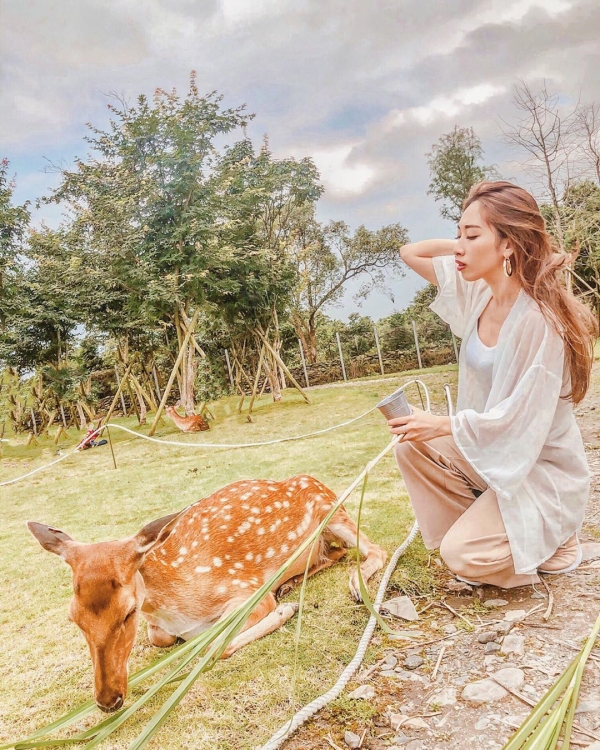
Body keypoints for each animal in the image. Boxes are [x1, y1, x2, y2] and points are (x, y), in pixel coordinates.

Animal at [27, 475, 387, 713]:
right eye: (73, 618)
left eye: (128, 612)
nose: (108, 700)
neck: (175, 606)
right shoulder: (162, 629)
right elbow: (160, 638)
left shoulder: (247, 592)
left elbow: (215, 645)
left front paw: (285, 611)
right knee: (334, 554)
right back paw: (291, 583)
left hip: (334, 509)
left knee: (376, 551)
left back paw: (354, 587)